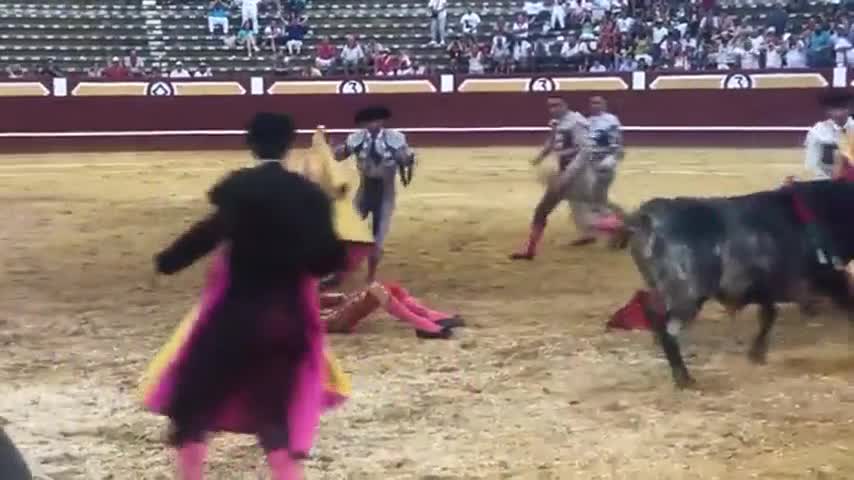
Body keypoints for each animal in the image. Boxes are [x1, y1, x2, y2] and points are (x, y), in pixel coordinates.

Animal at [600, 182, 854, 388]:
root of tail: (646, 217)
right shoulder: (829, 278)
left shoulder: (767, 289)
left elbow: (769, 314)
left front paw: (757, 353)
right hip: (687, 296)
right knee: (666, 326)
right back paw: (684, 378)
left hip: (663, 291)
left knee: (651, 313)